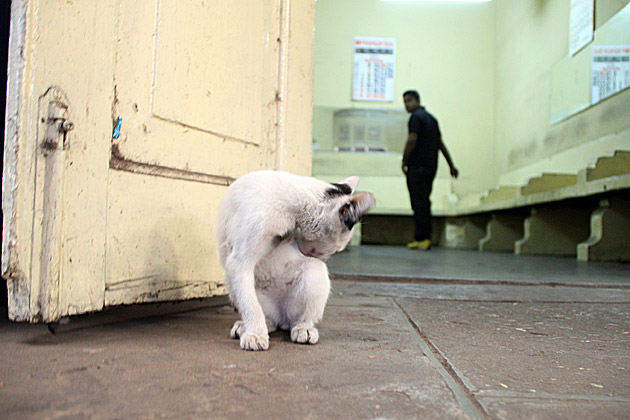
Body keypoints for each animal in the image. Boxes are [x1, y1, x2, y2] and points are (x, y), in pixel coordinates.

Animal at [218, 171, 376, 352]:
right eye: (336, 249)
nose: (323, 258)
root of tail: (281, 316)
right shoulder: (239, 261)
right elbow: (251, 304)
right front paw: (256, 334)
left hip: (314, 271)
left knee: (298, 320)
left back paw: (303, 329)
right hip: (231, 281)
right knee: (265, 316)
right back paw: (249, 326)